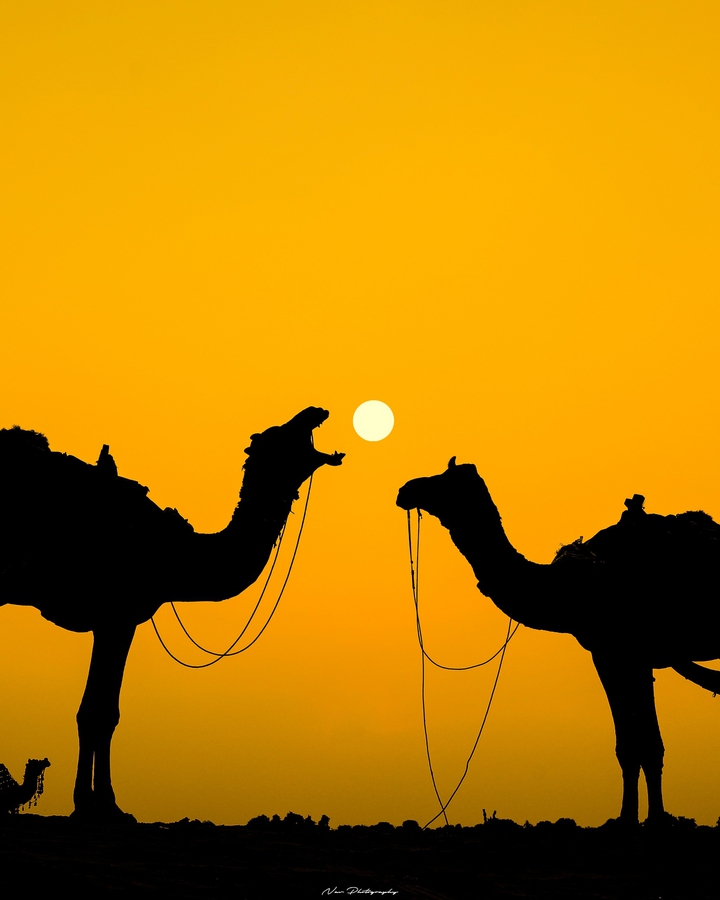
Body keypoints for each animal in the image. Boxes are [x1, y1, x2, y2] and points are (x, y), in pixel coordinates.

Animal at [0, 407, 343, 821]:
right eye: (281, 435)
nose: (315, 411)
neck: (174, 555)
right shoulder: (117, 614)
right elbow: (97, 712)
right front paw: (95, 805)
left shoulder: (120, 619)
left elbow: (104, 711)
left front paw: (103, 803)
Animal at [397, 458, 720, 825]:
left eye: (444, 481)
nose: (405, 490)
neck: (566, 587)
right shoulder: (611, 654)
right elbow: (633, 745)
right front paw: (630, 818)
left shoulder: (625, 652)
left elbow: (644, 744)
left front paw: (649, 820)